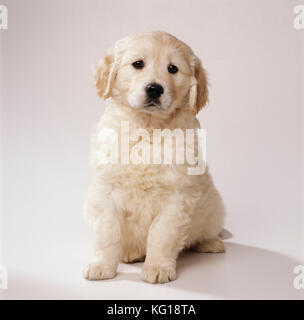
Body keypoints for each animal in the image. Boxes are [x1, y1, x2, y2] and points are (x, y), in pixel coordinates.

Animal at [83, 31, 226, 284]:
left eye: (173, 68)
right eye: (138, 64)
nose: (154, 89)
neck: (147, 128)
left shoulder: (177, 197)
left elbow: (162, 234)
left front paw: (158, 267)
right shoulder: (105, 190)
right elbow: (107, 232)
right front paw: (101, 266)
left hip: (214, 208)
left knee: (206, 231)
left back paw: (211, 243)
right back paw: (131, 253)